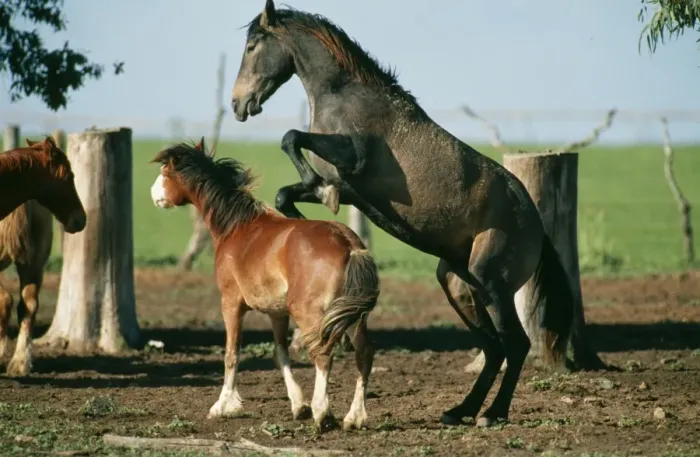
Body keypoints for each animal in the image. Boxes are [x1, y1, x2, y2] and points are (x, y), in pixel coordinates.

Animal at [149, 138, 379, 430]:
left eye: (166, 172)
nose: (154, 195)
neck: (237, 227)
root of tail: (349, 244)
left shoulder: (231, 304)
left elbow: (231, 354)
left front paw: (222, 406)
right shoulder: (276, 313)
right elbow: (280, 354)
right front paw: (298, 405)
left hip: (311, 314)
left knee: (323, 355)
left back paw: (323, 413)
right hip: (353, 317)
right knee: (364, 355)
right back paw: (354, 417)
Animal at [230, 0, 581, 427]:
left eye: (252, 46)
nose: (238, 104)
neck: (344, 96)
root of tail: (535, 227)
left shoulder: (353, 158)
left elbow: (291, 137)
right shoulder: (347, 186)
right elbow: (286, 192)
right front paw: (307, 218)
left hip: (490, 280)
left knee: (514, 345)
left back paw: (491, 414)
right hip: (458, 284)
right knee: (493, 347)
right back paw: (460, 411)